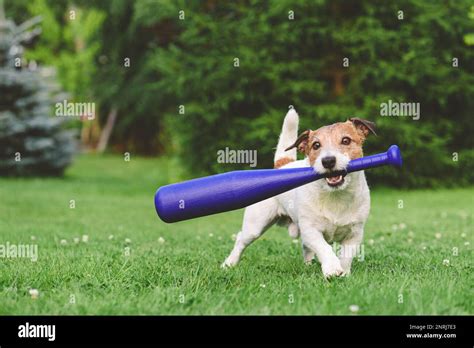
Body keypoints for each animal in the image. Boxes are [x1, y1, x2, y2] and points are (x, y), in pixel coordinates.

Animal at [223, 110, 378, 278]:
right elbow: (324, 247)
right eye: (316, 145)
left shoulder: (355, 233)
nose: (328, 160)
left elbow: (346, 255)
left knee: (306, 248)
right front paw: (331, 268)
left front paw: (343, 271)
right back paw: (229, 263)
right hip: (255, 225)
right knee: (241, 240)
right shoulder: (310, 230)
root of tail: (281, 166)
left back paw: (308, 265)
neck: (335, 195)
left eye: (346, 140)